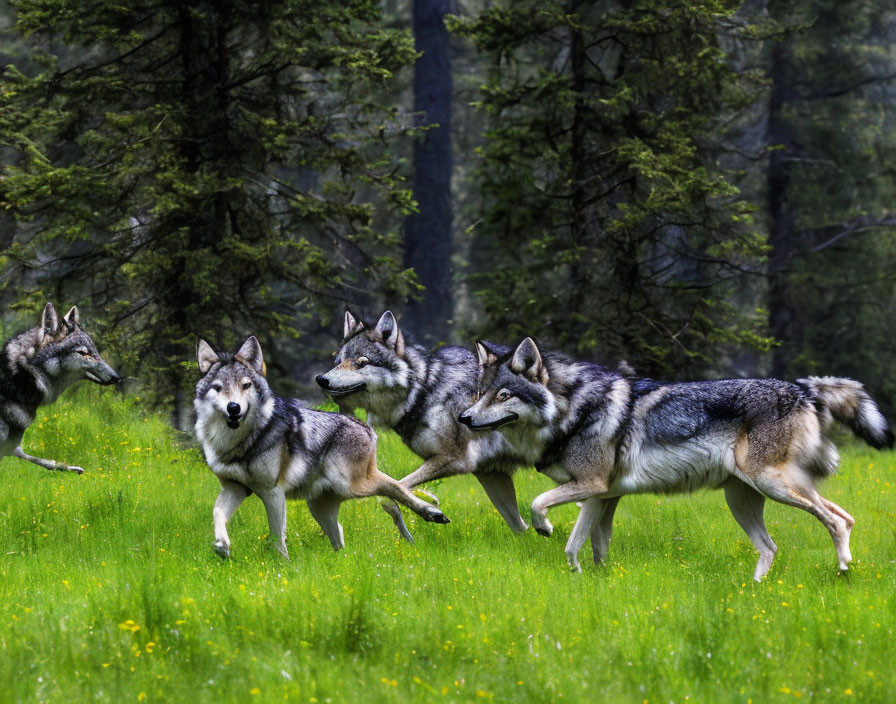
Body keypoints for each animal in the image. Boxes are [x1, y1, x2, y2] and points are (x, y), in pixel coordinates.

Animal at [194, 336, 448, 560]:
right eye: (218, 388)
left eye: (245, 385)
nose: (233, 408)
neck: (238, 443)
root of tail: (361, 424)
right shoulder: (235, 488)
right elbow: (217, 513)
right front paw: (222, 547)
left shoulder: (272, 492)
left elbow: (277, 537)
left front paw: (284, 567)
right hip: (321, 507)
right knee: (344, 535)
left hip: (352, 485)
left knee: (395, 486)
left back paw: (432, 511)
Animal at [316, 310, 532, 540]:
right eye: (339, 362)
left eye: (361, 362)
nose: (321, 379)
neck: (422, 391)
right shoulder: (490, 472)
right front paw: (420, 516)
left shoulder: (453, 460)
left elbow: (392, 491)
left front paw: (429, 508)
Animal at [458, 338, 892, 580]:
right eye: (479, 393)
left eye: (503, 396)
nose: (464, 418)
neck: (571, 411)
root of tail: (804, 387)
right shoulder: (602, 497)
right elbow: (585, 547)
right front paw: (589, 581)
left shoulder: (592, 488)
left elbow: (538, 507)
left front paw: (546, 529)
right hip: (745, 499)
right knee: (784, 542)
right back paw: (753, 594)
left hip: (774, 486)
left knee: (837, 520)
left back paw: (843, 569)